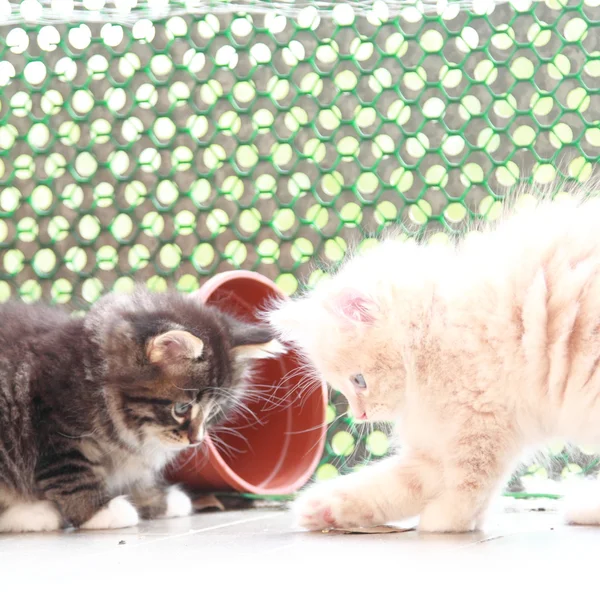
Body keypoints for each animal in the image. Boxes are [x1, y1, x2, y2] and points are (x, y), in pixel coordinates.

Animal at [0, 288, 282, 532]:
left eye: (214, 411)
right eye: (182, 408)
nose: (196, 440)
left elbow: (137, 475)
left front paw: (159, 499)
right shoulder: (55, 429)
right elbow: (73, 474)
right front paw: (99, 511)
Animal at [268, 186, 600, 532]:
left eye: (358, 381)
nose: (359, 415)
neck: (435, 331)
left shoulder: (482, 426)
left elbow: (470, 483)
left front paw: (446, 519)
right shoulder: (436, 446)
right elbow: (391, 486)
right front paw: (322, 508)